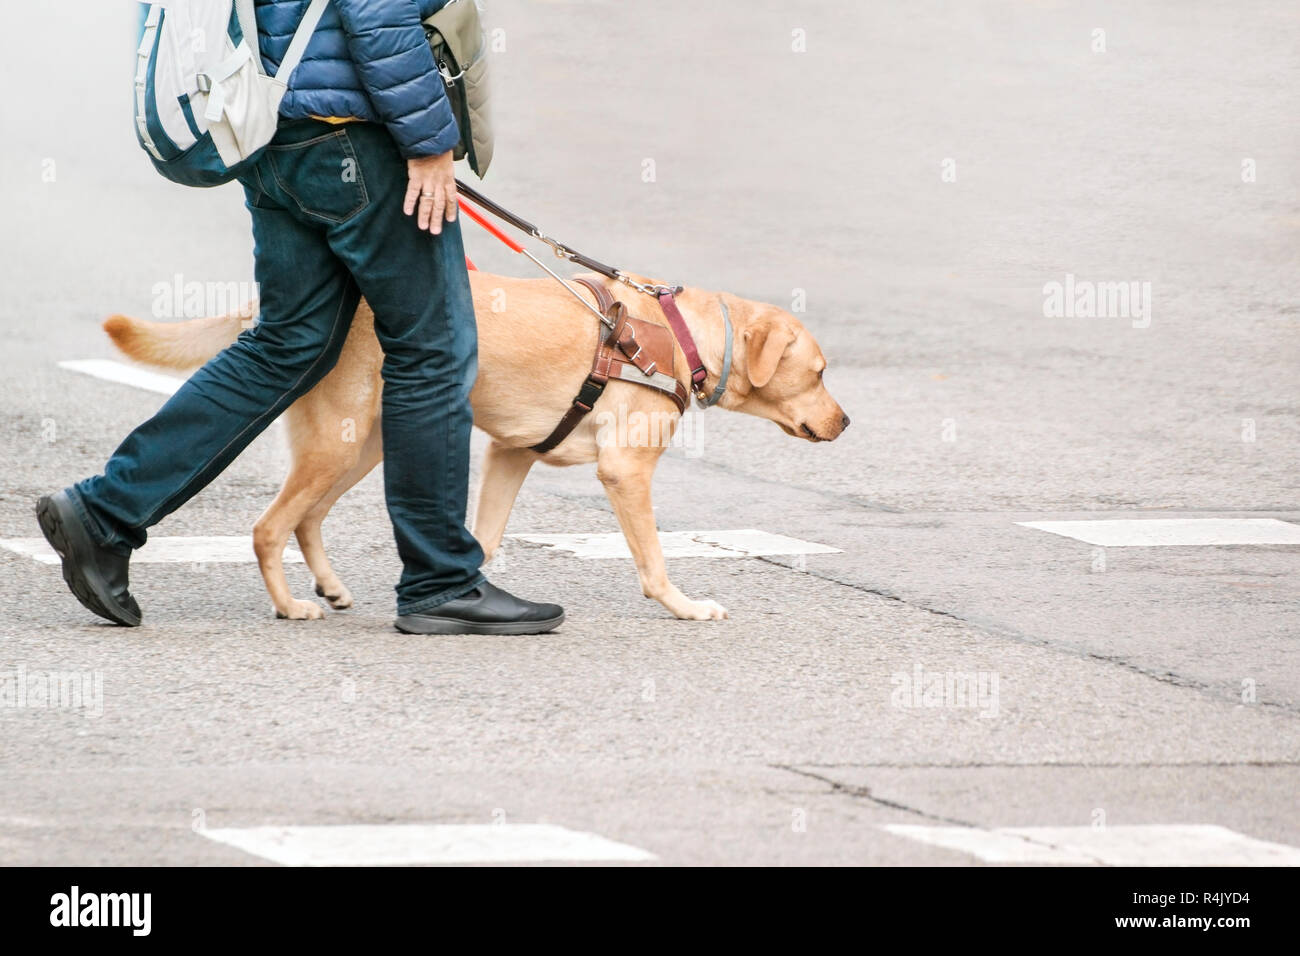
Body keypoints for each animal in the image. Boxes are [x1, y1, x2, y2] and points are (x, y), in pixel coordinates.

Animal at [106, 273, 847, 624]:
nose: (846, 423)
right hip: (338, 446)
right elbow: (655, 562)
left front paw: (464, 592)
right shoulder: (625, 471)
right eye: (818, 373)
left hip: (362, 445)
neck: (677, 335)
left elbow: (483, 538)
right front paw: (686, 606)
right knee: (268, 526)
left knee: (307, 517)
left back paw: (330, 585)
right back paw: (290, 605)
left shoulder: (511, 454)